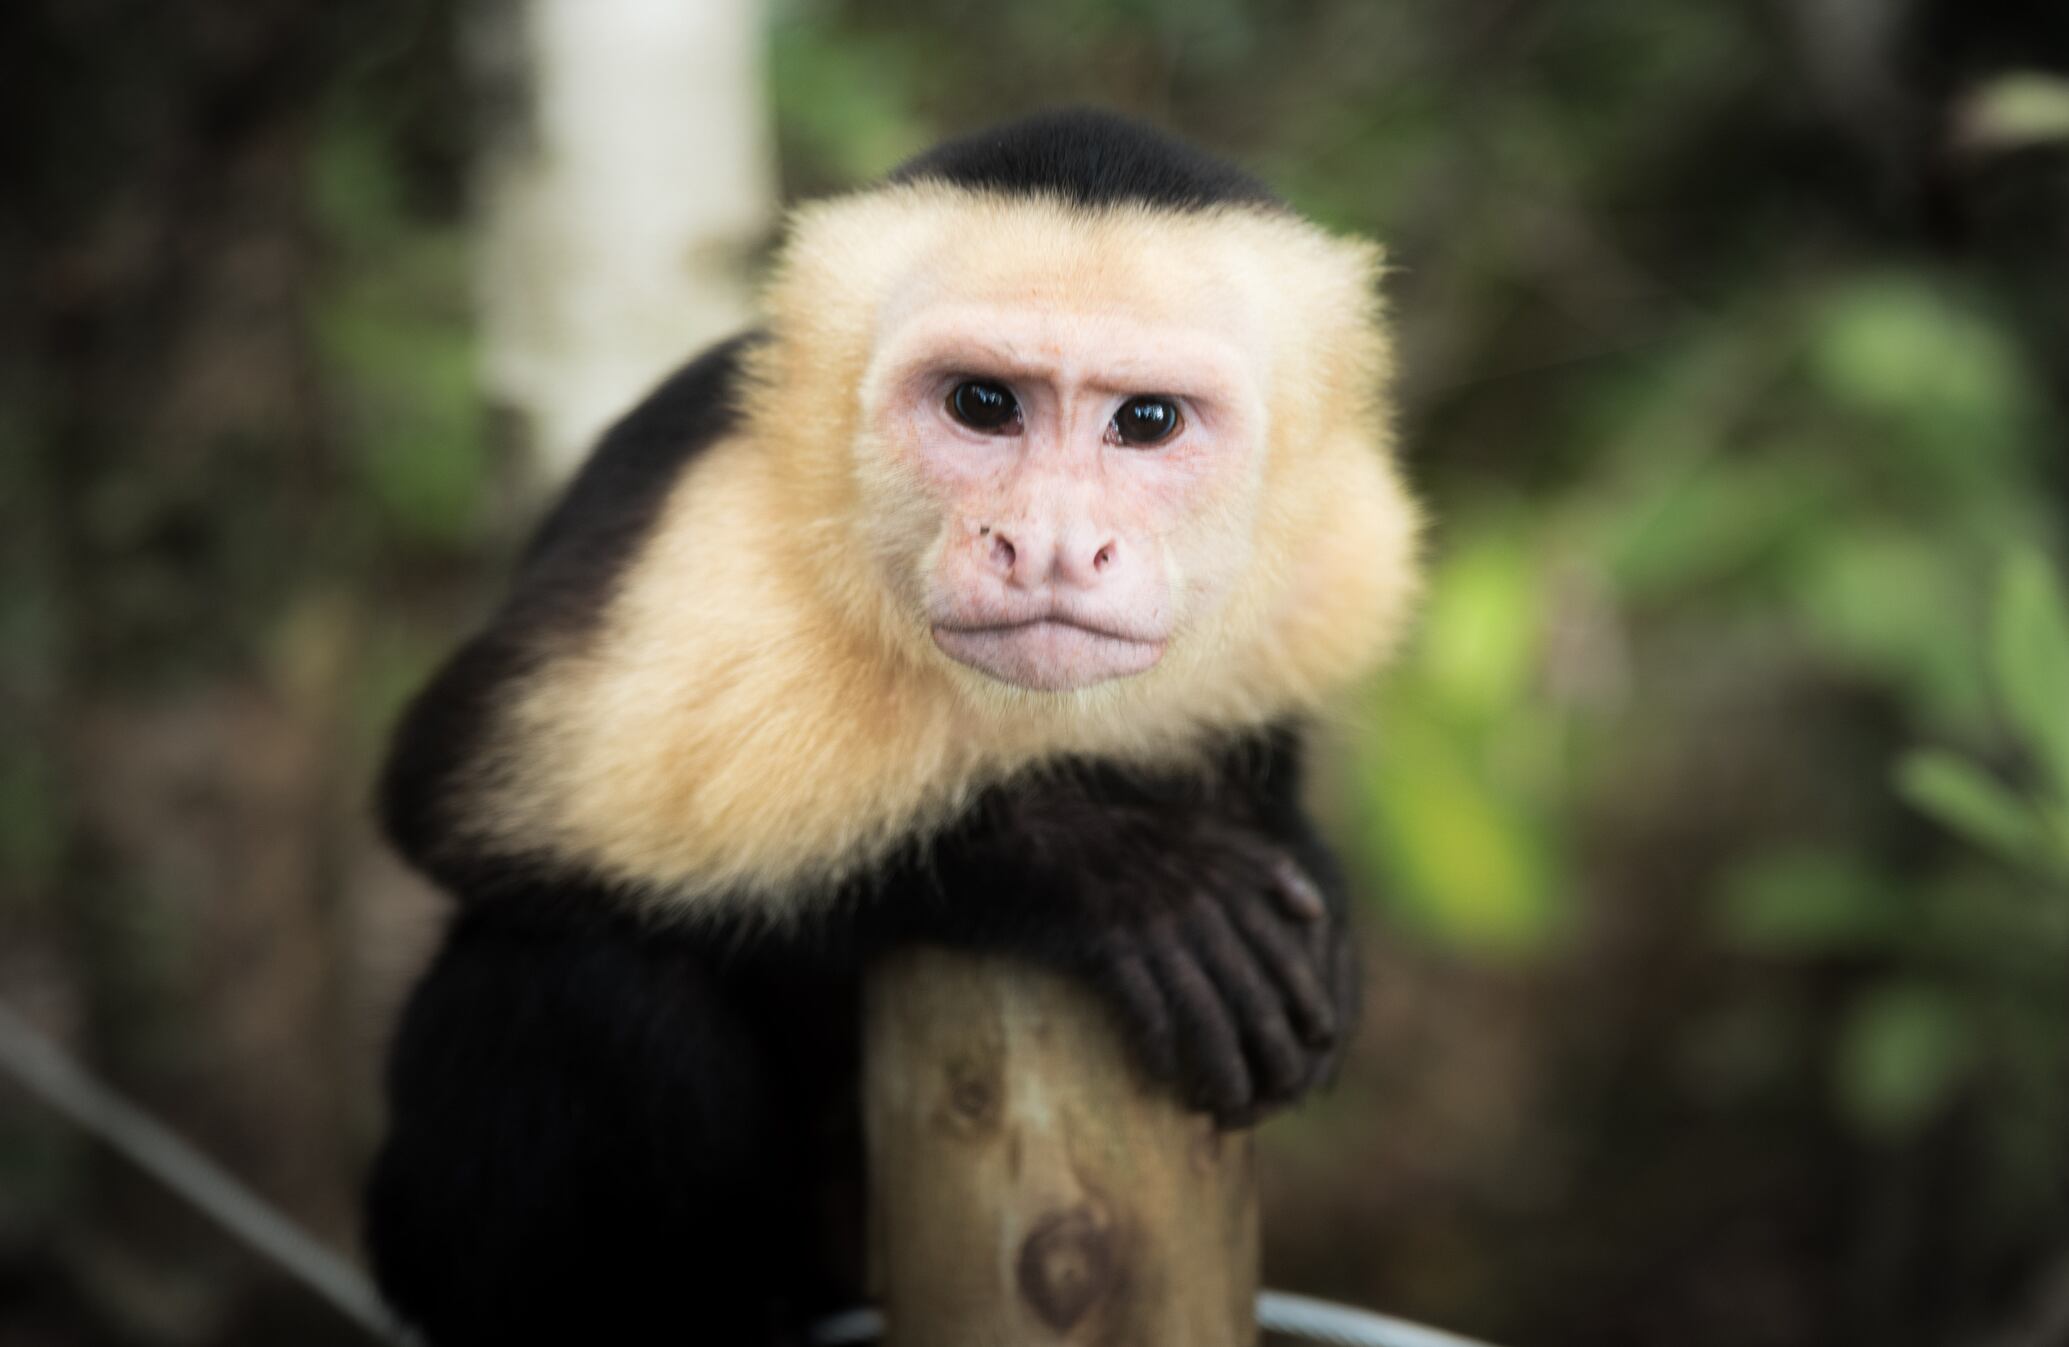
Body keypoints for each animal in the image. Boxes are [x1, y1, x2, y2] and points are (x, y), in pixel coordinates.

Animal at [364, 108, 1420, 1347]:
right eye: (981, 404)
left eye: (1146, 422)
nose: (1048, 544)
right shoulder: (715, 552)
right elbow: (456, 799)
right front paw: (1103, 871)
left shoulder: (1333, 540)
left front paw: (1283, 842)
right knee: (576, 987)